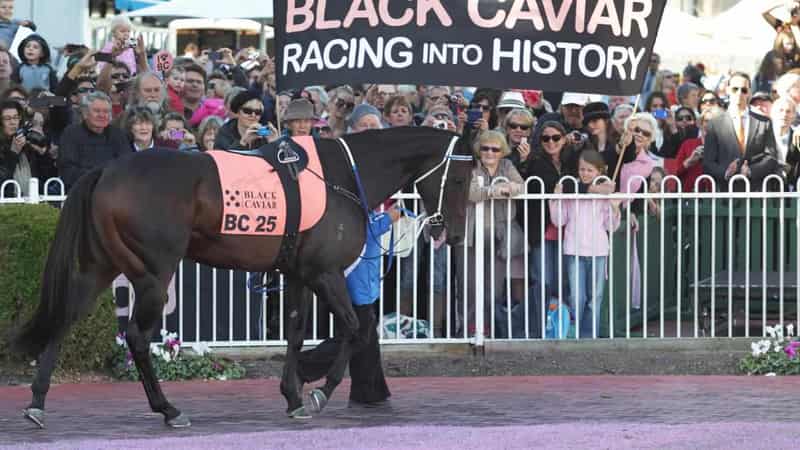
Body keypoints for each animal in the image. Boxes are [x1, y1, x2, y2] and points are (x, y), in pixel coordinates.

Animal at [9, 125, 472, 426]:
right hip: (154, 275)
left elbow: (296, 331)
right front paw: (319, 393)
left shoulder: (299, 273)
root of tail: (106, 171)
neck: (343, 175)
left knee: (64, 320)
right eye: (462, 177)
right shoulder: (325, 273)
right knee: (137, 338)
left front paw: (293, 395)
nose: (453, 232)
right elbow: (355, 326)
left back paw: (37, 403)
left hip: (101, 266)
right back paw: (168, 410)